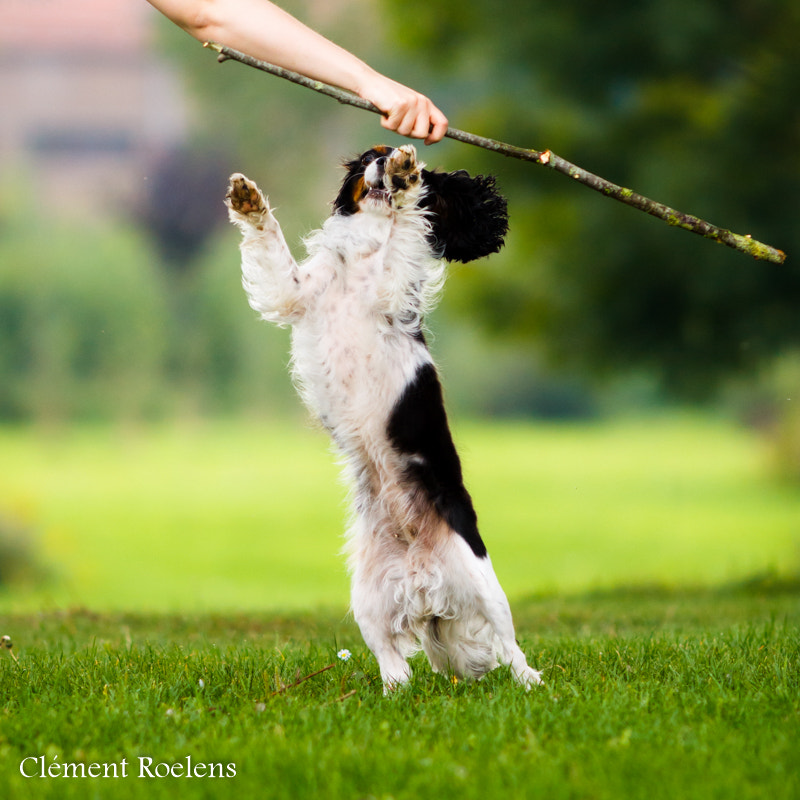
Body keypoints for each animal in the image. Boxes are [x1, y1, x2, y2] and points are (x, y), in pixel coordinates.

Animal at [223, 145, 544, 692]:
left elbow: (406, 230)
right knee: (395, 661)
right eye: (368, 156)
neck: (361, 256)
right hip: (368, 600)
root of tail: (424, 584)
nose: (385, 161)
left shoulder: (392, 285)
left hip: (483, 584)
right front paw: (249, 199)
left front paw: (408, 178)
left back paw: (532, 683)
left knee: (511, 648)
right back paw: (394, 692)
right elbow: (271, 245)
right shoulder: (296, 291)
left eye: (385, 155)